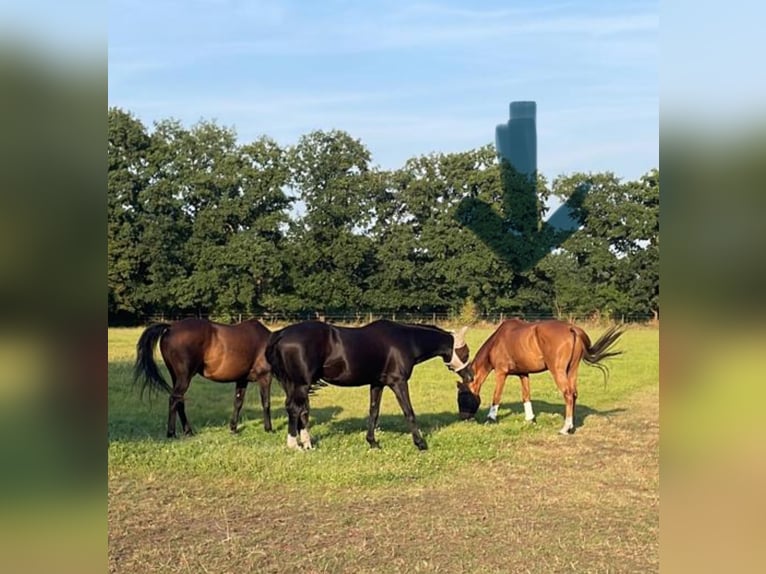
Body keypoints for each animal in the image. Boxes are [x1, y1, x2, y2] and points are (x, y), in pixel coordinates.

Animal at [134, 318, 274, 438]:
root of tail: (171, 327)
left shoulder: (242, 380)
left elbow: (238, 403)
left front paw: (233, 428)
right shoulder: (265, 377)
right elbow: (266, 403)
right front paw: (269, 429)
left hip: (176, 377)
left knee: (179, 401)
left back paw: (188, 431)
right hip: (184, 378)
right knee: (174, 399)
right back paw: (171, 433)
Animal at [268, 322, 476, 452]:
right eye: (465, 352)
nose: (470, 376)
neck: (406, 340)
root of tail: (282, 334)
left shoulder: (377, 384)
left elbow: (373, 412)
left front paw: (373, 443)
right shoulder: (398, 382)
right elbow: (409, 412)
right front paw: (420, 443)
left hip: (293, 385)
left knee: (299, 410)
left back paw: (307, 444)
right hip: (301, 385)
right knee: (295, 409)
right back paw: (294, 445)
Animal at [456, 320, 624, 436]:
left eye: (462, 396)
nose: (463, 418)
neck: (498, 341)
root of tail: (571, 328)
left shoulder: (501, 373)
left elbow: (496, 396)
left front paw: (490, 418)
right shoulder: (523, 374)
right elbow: (526, 396)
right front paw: (530, 419)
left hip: (558, 371)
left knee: (568, 394)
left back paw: (564, 428)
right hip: (572, 370)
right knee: (574, 393)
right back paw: (571, 426)